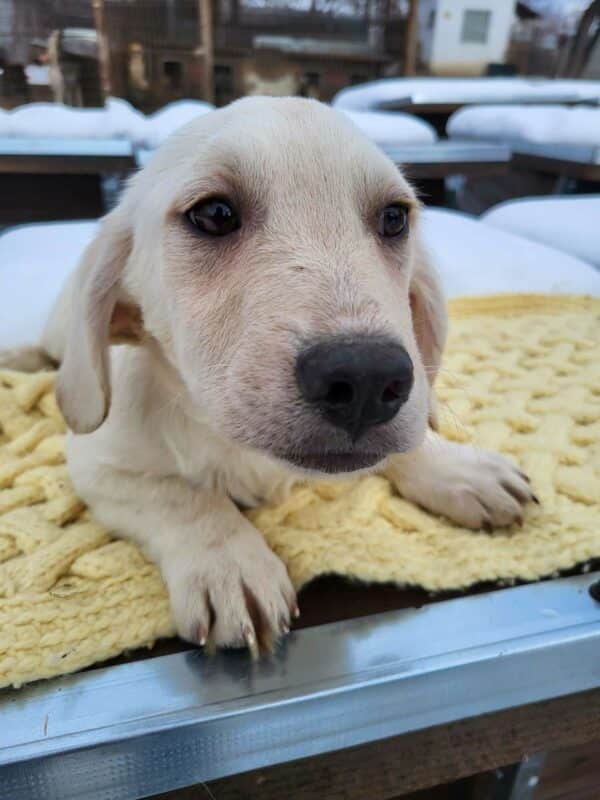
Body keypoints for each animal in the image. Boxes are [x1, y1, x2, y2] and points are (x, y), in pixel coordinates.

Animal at [38, 98, 536, 648]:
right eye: (214, 214)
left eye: (394, 218)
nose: (366, 379)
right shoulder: (94, 463)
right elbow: (182, 498)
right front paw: (230, 564)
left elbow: (402, 444)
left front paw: (457, 467)